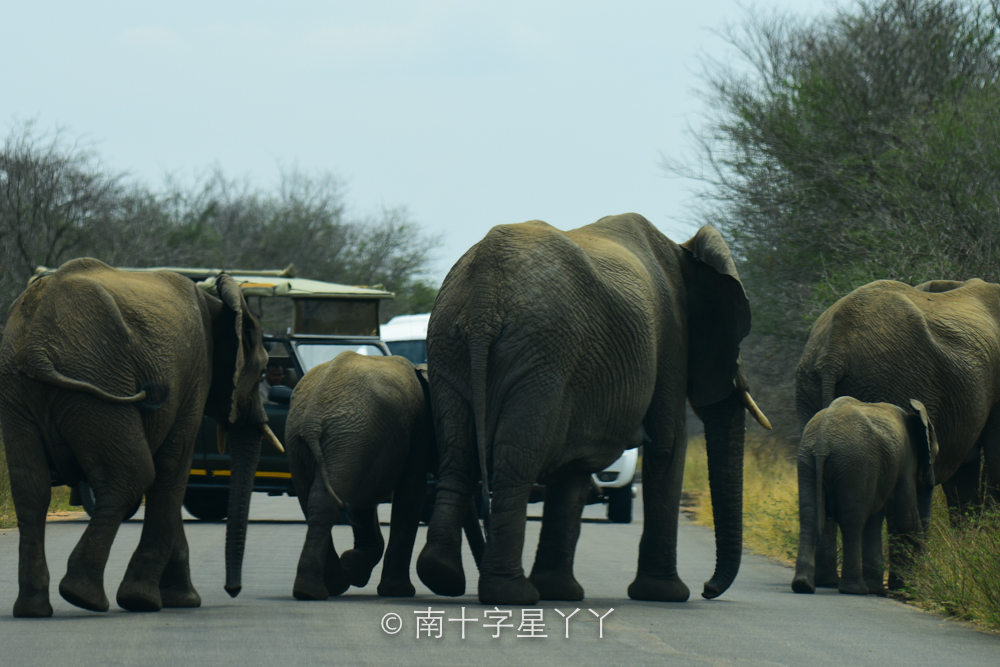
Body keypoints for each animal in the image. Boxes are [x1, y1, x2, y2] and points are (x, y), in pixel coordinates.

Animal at [0, 258, 276, 620]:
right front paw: (144, 600)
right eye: (263, 372)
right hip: (99, 379)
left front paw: (182, 600)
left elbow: (168, 480)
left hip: (18, 390)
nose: (233, 590)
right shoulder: (194, 377)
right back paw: (83, 596)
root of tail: (35, 343)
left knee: (31, 488)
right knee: (132, 475)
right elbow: (172, 470)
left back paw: (33, 609)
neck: (217, 303)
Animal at [286, 352, 484, 604]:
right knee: (329, 503)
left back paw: (319, 588)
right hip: (347, 439)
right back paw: (323, 588)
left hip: (319, 443)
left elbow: (365, 503)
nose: (467, 587)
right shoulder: (418, 429)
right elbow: (410, 494)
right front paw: (397, 591)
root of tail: (313, 419)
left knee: (317, 504)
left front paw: (355, 565)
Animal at [414, 213, 772, 604]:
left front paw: (560, 592)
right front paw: (666, 595)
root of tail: (483, 295)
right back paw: (512, 594)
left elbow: (573, 470)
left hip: (449, 346)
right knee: (517, 462)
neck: (684, 252)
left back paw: (442, 575)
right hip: (543, 356)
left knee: (457, 456)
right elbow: (668, 445)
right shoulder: (671, 337)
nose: (708, 589)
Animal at [788, 396, 936, 596]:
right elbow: (906, 519)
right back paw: (855, 590)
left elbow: (875, 519)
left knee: (810, 516)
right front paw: (902, 587)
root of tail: (822, 440)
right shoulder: (905, 461)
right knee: (852, 521)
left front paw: (879, 589)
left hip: (807, 462)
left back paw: (803, 585)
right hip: (855, 463)